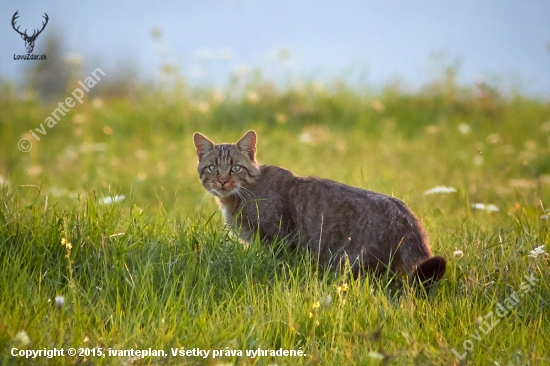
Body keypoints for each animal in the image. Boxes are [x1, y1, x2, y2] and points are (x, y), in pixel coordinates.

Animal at [194, 130, 448, 284]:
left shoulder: (279, 239)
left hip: (352, 261)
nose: (222, 180)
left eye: (235, 168)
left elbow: (279, 262)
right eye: (213, 168)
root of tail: (408, 218)